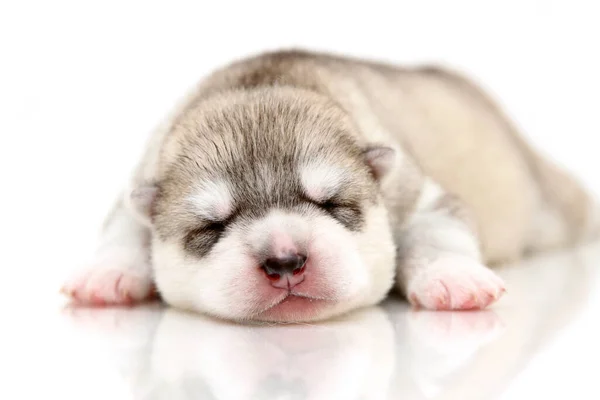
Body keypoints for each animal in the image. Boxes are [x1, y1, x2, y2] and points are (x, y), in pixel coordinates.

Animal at [62, 50, 600, 324]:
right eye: (212, 226)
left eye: (331, 202)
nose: (284, 262)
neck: (260, 84)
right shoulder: (141, 179)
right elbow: (123, 227)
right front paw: (106, 273)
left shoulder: (414, 191)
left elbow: (437, 229)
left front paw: (453, 276)